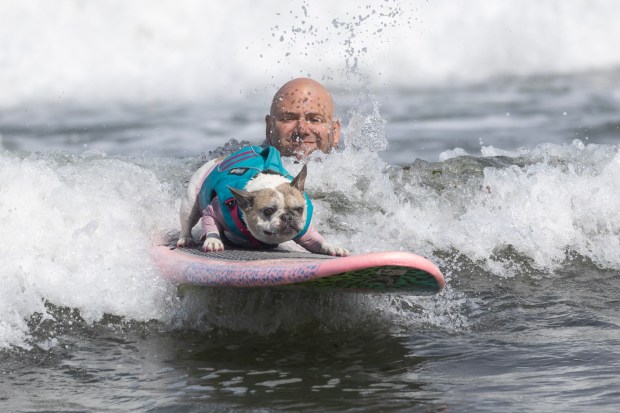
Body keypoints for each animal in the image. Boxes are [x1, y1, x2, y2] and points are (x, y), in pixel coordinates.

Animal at [177, 144, 348, 254]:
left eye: (299, 209)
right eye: (268, 211)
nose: (287, 217)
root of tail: (218, 159)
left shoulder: (305, 232)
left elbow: (316, 240)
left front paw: (332, 247)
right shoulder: (213, 211)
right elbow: (210, 224)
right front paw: (213, 241)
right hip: (190, 202)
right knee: (187, 221)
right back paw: (186, 239)